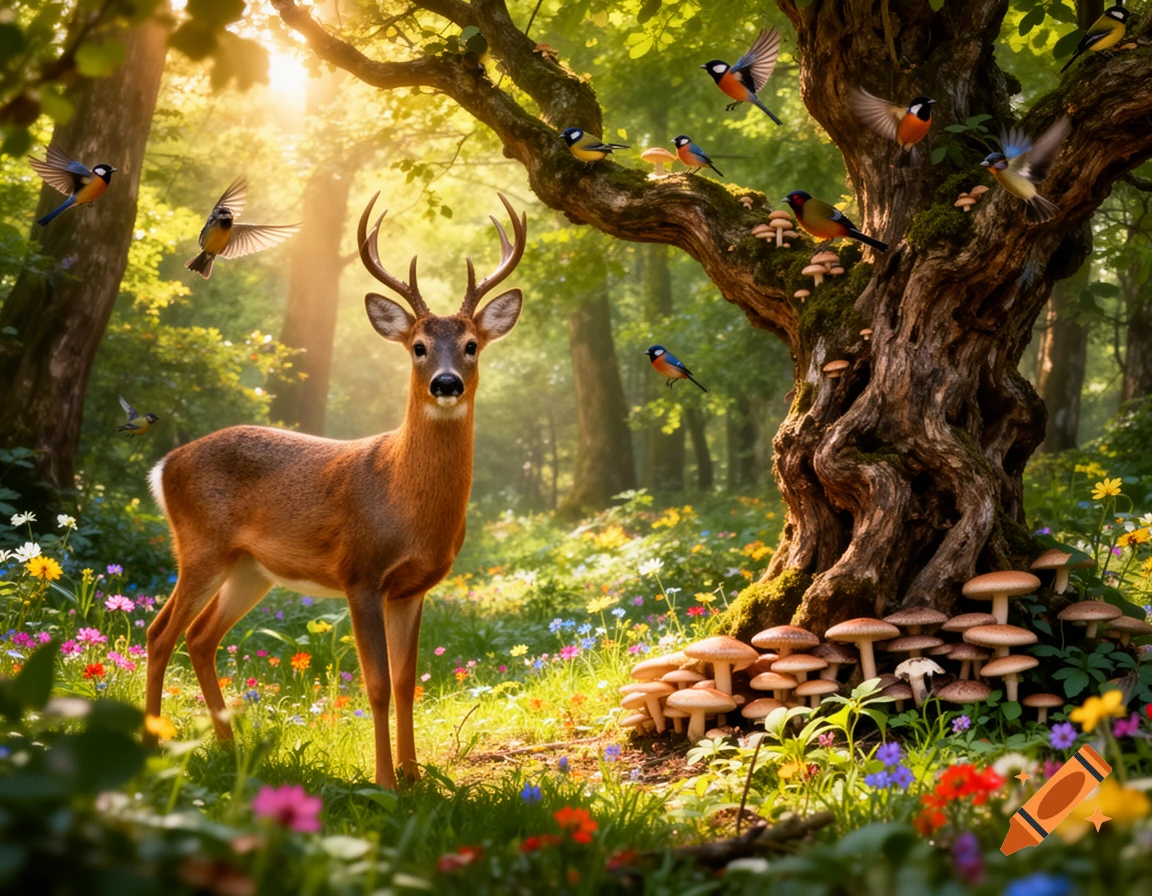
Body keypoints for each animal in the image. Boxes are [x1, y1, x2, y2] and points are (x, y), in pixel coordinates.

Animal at [144, 192, 526, 789]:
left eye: (471, 345)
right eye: (418, 346)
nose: (446, 383)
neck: (404, 500)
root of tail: (164, 467)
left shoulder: (413, 587)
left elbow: (406, 682)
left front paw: (415, 777)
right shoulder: (360, 573)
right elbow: (376, 684)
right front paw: (385, 783)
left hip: (250, 567)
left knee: (201, 637)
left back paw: (229, 749)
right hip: (201, 546)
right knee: (159, 634)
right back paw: (153, 747)